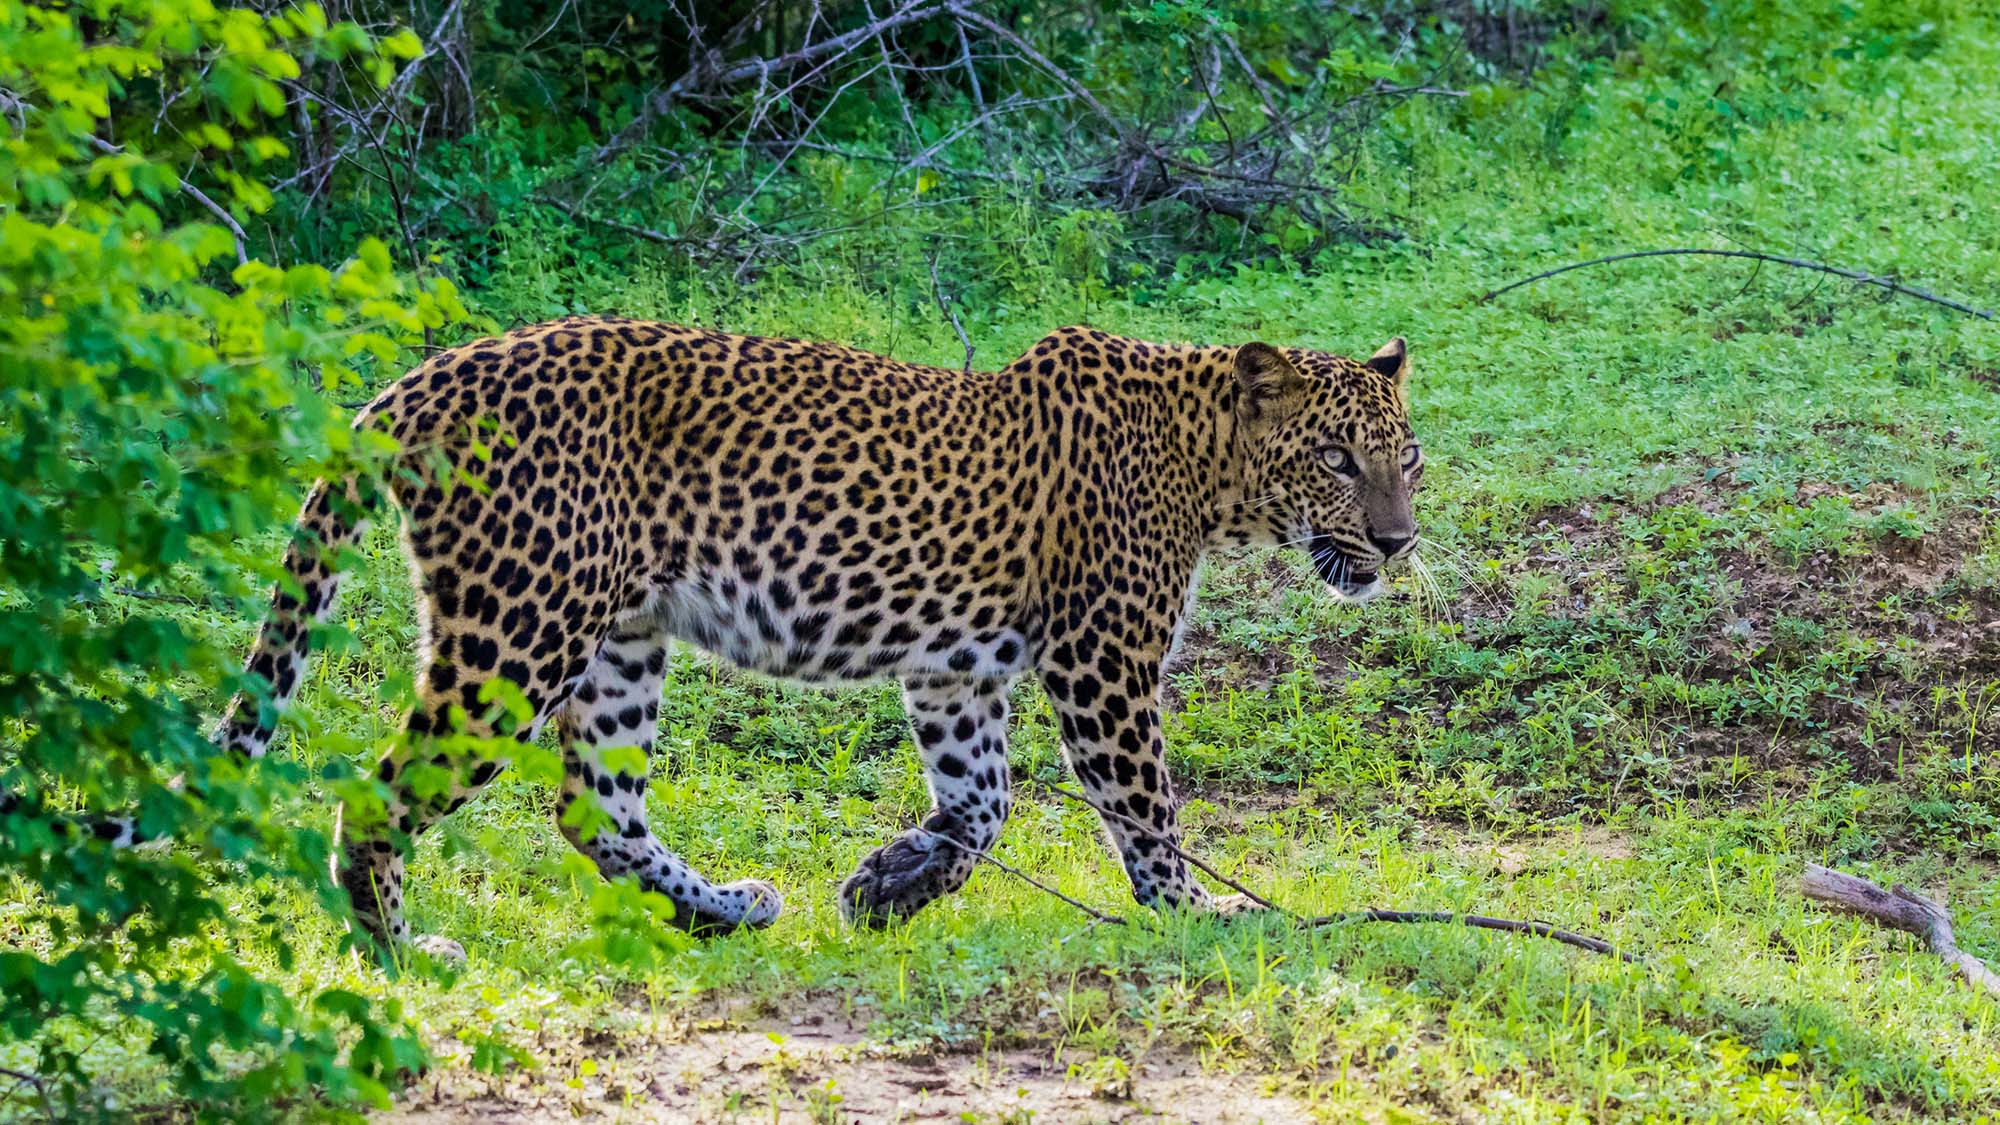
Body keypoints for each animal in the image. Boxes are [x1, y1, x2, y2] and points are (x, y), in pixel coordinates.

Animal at [210, 316, 1422, 959]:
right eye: (1334, 460)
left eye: (1403, 460)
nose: (1398, 541)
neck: (1206, 464)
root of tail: (425, 378)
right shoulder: (1103, 656)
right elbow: (1142, 801)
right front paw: (1194, 912)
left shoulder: (955, 668)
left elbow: (981, 803)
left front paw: (888, 885)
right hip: (519, 629)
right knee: (381, 788)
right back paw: (396, 949)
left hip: (619, 636)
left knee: (594, 805)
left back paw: (718, 906)